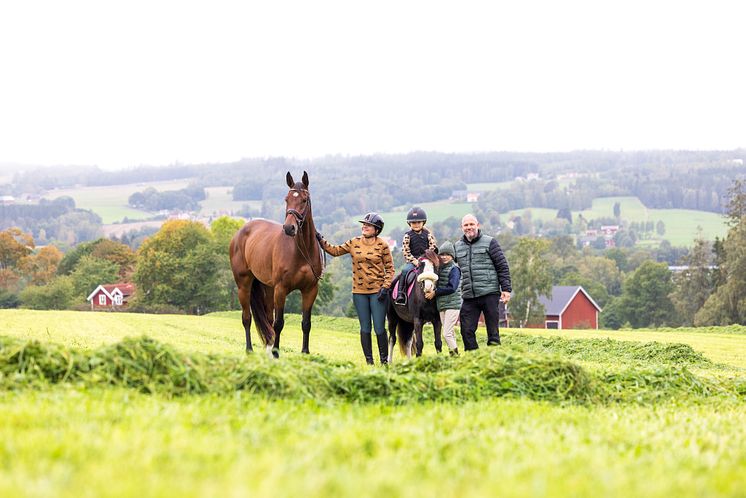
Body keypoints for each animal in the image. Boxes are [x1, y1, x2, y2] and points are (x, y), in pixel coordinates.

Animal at [227, 172, 320, 358]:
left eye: (304, 200)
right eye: (286, 199)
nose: (289, 228)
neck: (301, 251)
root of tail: (241, 232)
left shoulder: (310, 290)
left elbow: (306, 323)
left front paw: (305, 352)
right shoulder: (281, 289)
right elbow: (279, 323)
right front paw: (277, 353)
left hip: (268, 288)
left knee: (268, 319)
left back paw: (268, 349)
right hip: (244, 285)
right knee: (247, 318)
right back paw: (250, 349)